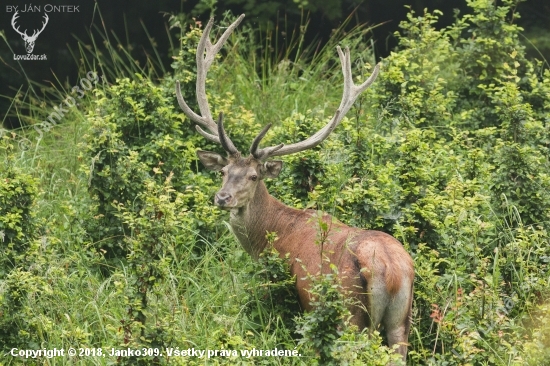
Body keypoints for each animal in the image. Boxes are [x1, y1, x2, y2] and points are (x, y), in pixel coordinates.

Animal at [176, 13, 414, 360]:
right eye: (223, 171)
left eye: (254, 176)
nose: (223, 197)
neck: (272, 236)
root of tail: (390, 269)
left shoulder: (304, 300)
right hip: (401, 319)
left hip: (349, 313)